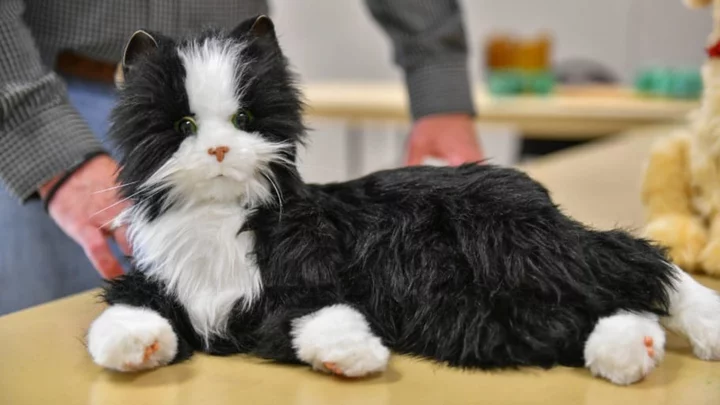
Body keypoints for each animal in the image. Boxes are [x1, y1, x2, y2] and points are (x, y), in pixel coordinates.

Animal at [88, 14, 720, 384]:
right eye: (185, 125)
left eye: (244, 120)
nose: (219, 149)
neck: (221, 218)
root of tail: (526, 187)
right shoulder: (167, 285)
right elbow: (128, 308)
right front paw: (135, 346)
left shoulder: (311, 278)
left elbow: (321, 313)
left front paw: (353, 354)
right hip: (486, 311)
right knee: (587, 311)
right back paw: (633, 349)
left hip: (520, 246)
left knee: (639, 260)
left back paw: (703, 326)